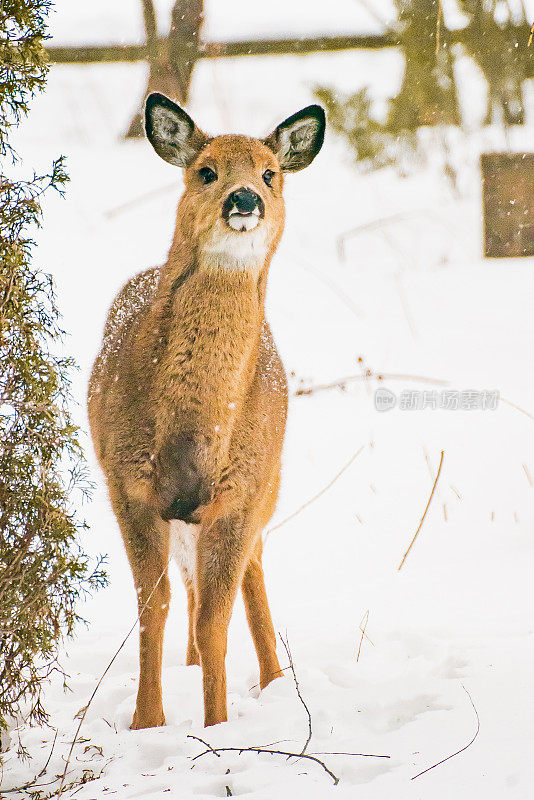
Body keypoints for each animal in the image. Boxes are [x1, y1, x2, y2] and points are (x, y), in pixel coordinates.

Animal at [89, 92, 326, 724]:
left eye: (269, 174)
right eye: (206, 170)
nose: (244, 200)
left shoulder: (240, 494)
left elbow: (216, 618)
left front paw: (216, 725)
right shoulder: (128, 484)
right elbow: (154, 608)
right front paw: (148, 721)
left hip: (266, 486)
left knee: (250, 571)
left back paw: (273, 679)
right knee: (191, 584)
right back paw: (196, 667)